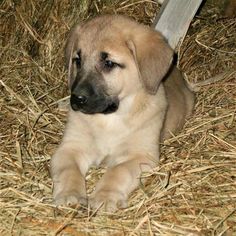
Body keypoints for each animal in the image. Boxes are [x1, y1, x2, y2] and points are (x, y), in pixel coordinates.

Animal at [50, 14, 195, 212]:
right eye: (78, 60)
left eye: (109, 63)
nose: (77, 99)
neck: (108, 119)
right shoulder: (69, 148)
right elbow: (68, 170)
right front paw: (69, 194)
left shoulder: (141, 156)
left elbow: (118, 171)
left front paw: (104, 196)